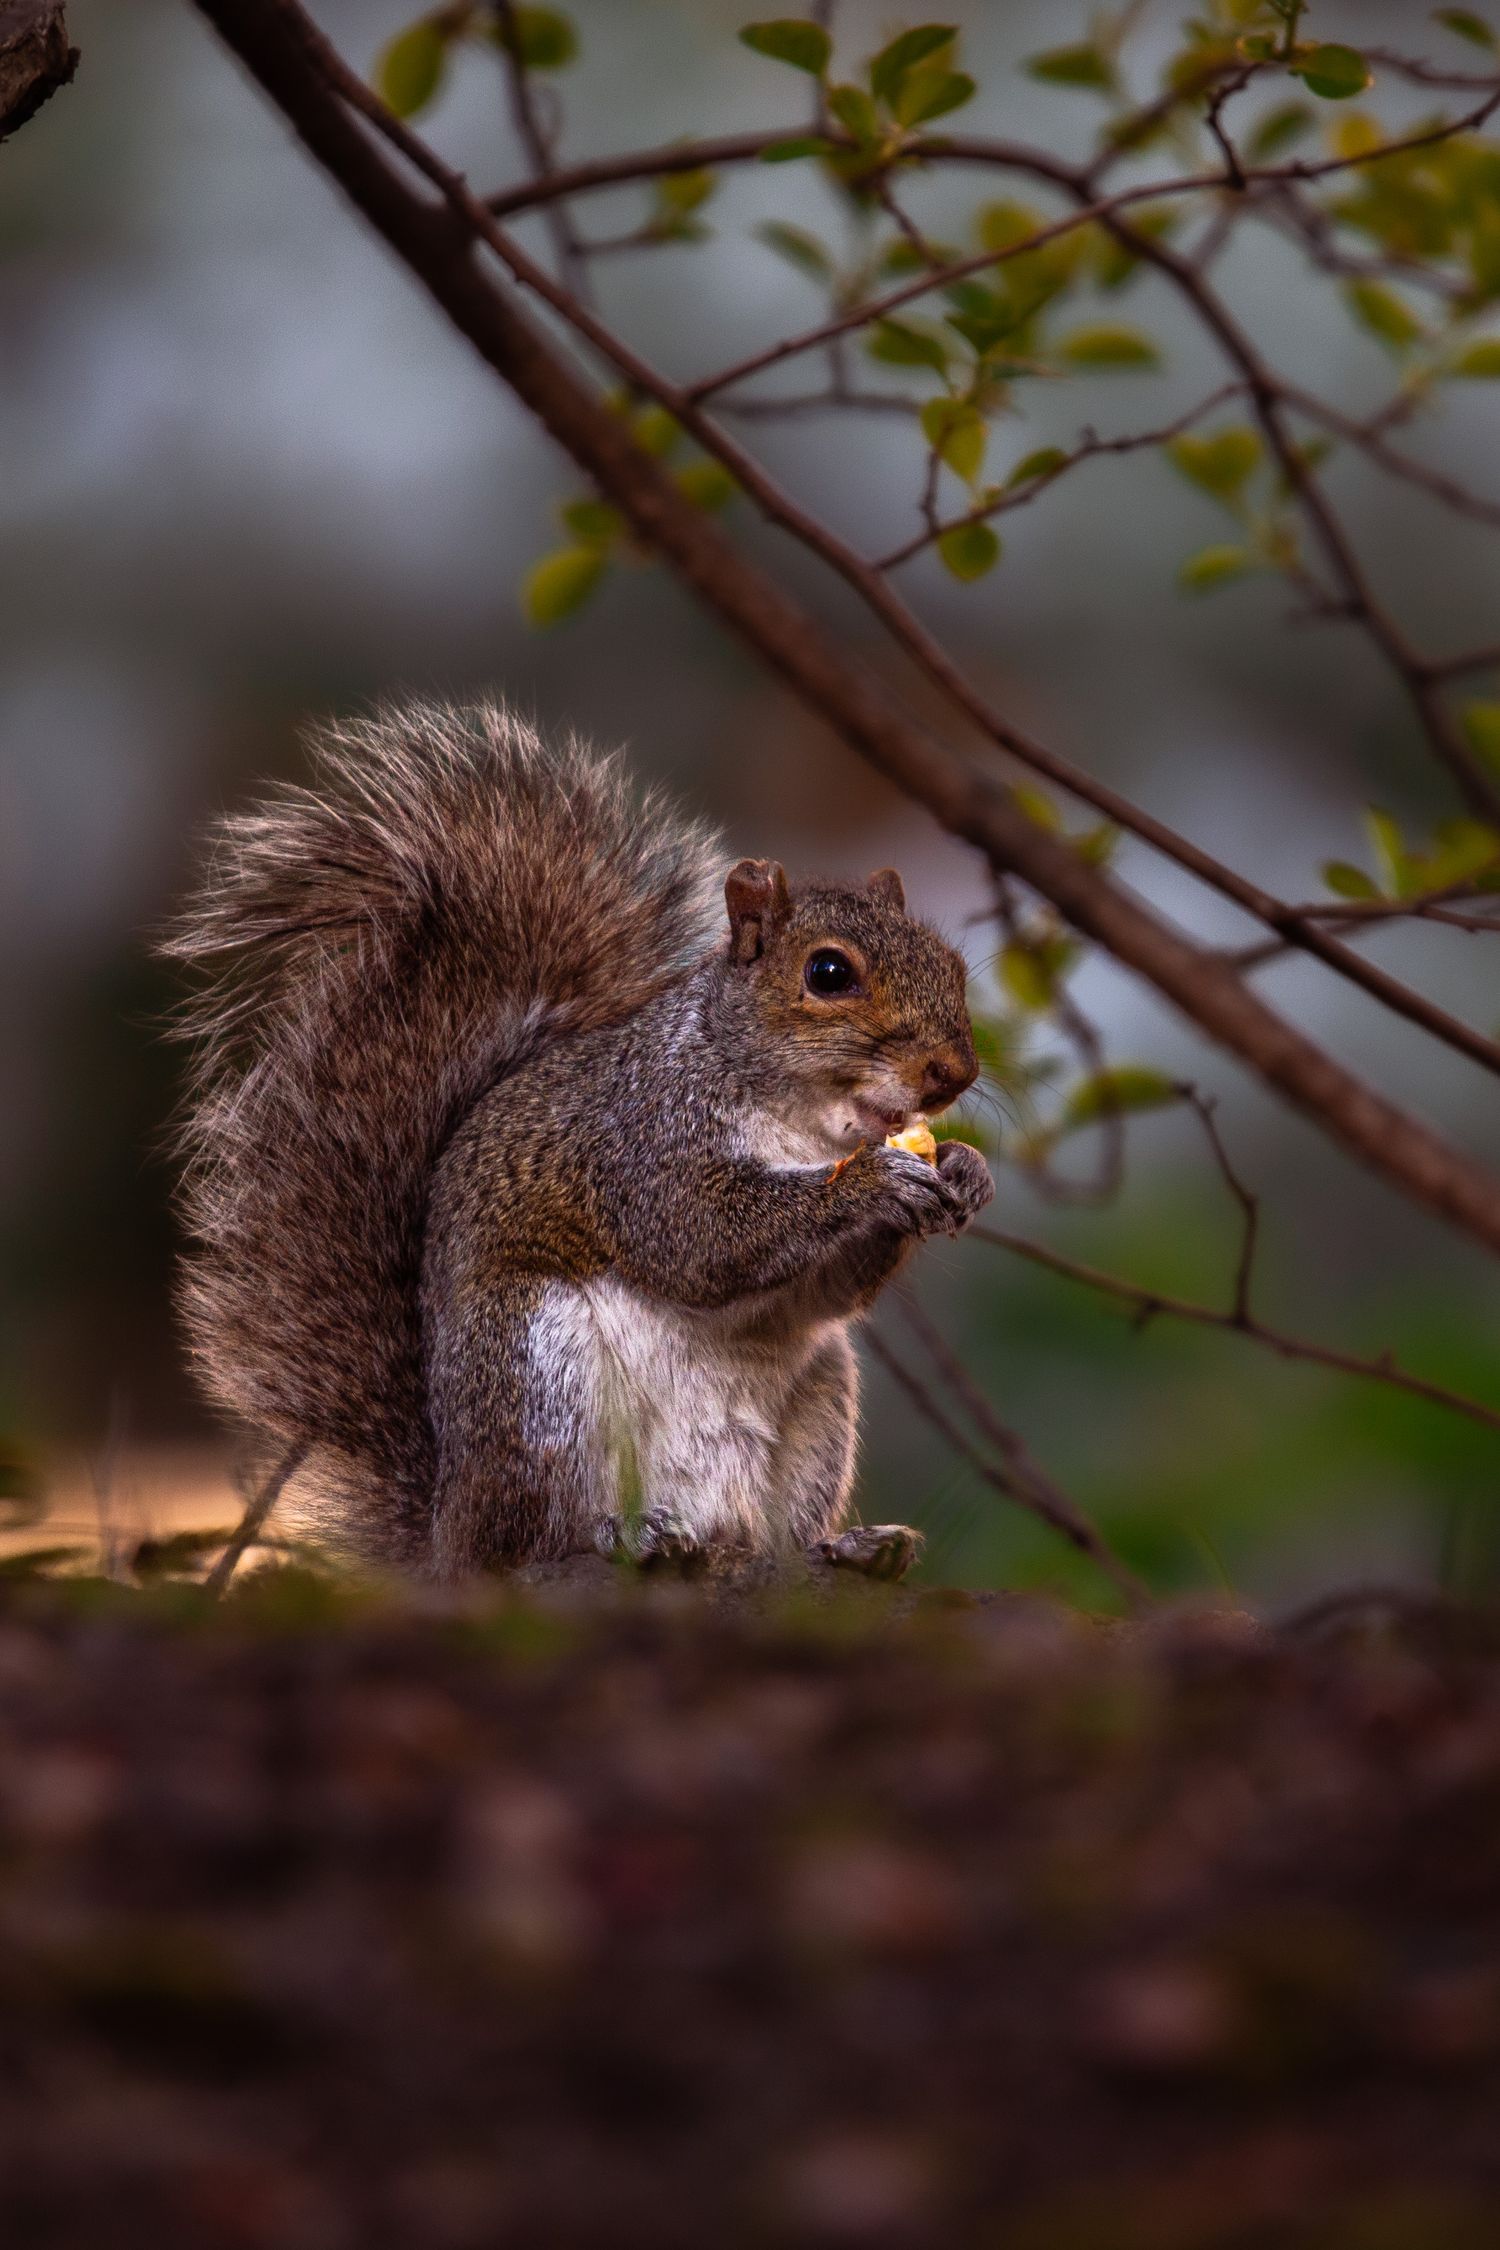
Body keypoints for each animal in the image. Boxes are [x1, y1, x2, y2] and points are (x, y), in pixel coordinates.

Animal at [163, 700, 994, 1580]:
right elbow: (698, 1236)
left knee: (775, 1541)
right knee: (535, 1541)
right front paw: (872, 1185)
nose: (953, 1074)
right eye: (828, 973)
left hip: (818, 1405)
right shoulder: (642, 1141)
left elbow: (826, 1293)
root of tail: (449, 1534)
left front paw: (964, 1170)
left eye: (952, 964)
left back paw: (845, 1547)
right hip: (540, 1381)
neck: (811, 1128)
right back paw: (626, 1535)